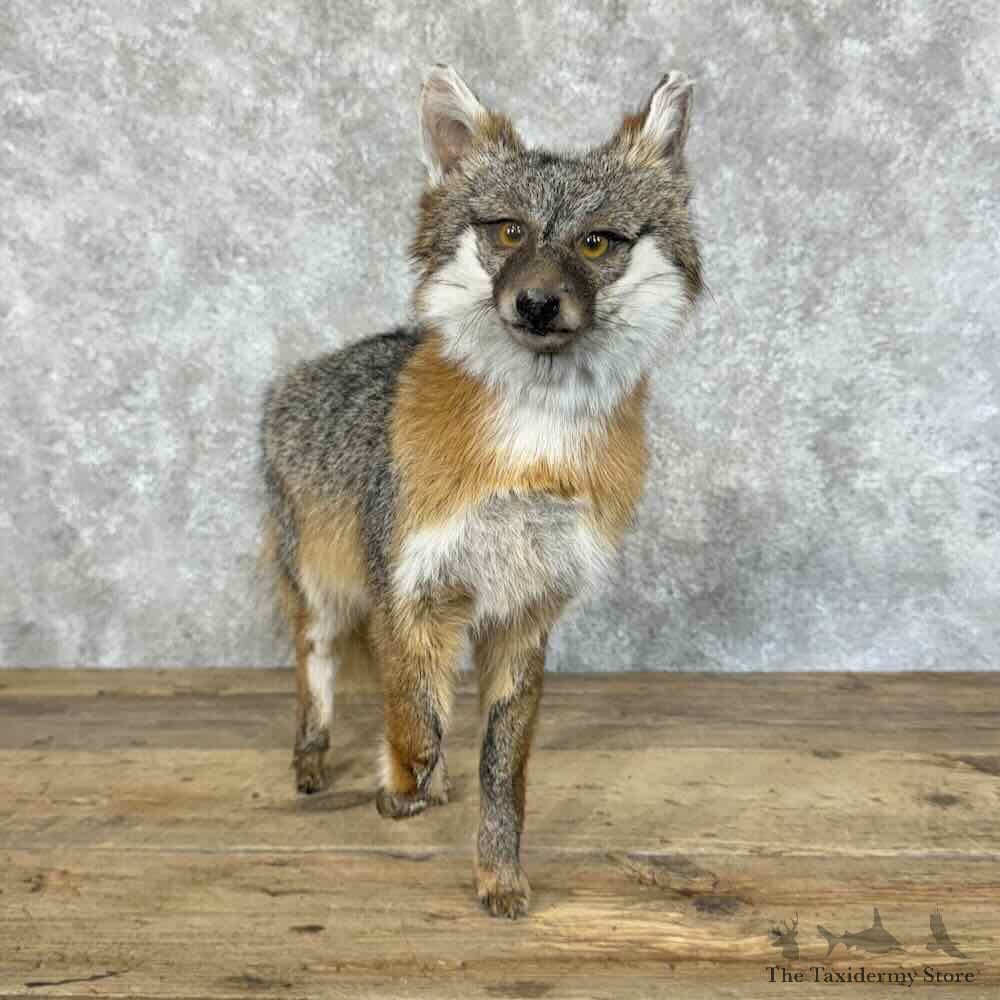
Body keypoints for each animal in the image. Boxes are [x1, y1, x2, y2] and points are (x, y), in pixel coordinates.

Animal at [259, 64, 702, 918]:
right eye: (507, 233)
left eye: (595, 242)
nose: (536, 304)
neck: (530, 454)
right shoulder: (409, 586)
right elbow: (416, 721)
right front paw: (399, 787)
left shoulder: (526, 614)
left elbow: (503, 772)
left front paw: (498, 874)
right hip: (324, 596)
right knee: (317, 675)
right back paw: (314, 761)